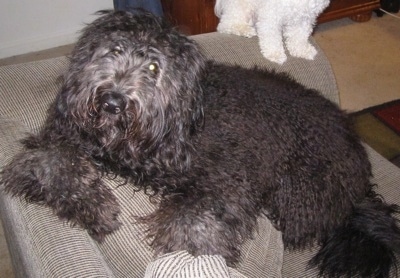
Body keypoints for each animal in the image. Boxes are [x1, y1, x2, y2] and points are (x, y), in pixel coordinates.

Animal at [0, 9, 400, 276]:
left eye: (153, 68)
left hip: (301, 188)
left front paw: (194, 247)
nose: (112, 101)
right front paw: (92, 206)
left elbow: (192, 217)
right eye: (112, 51)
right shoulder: (64, 136)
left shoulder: (228, 177)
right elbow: (50, 163)